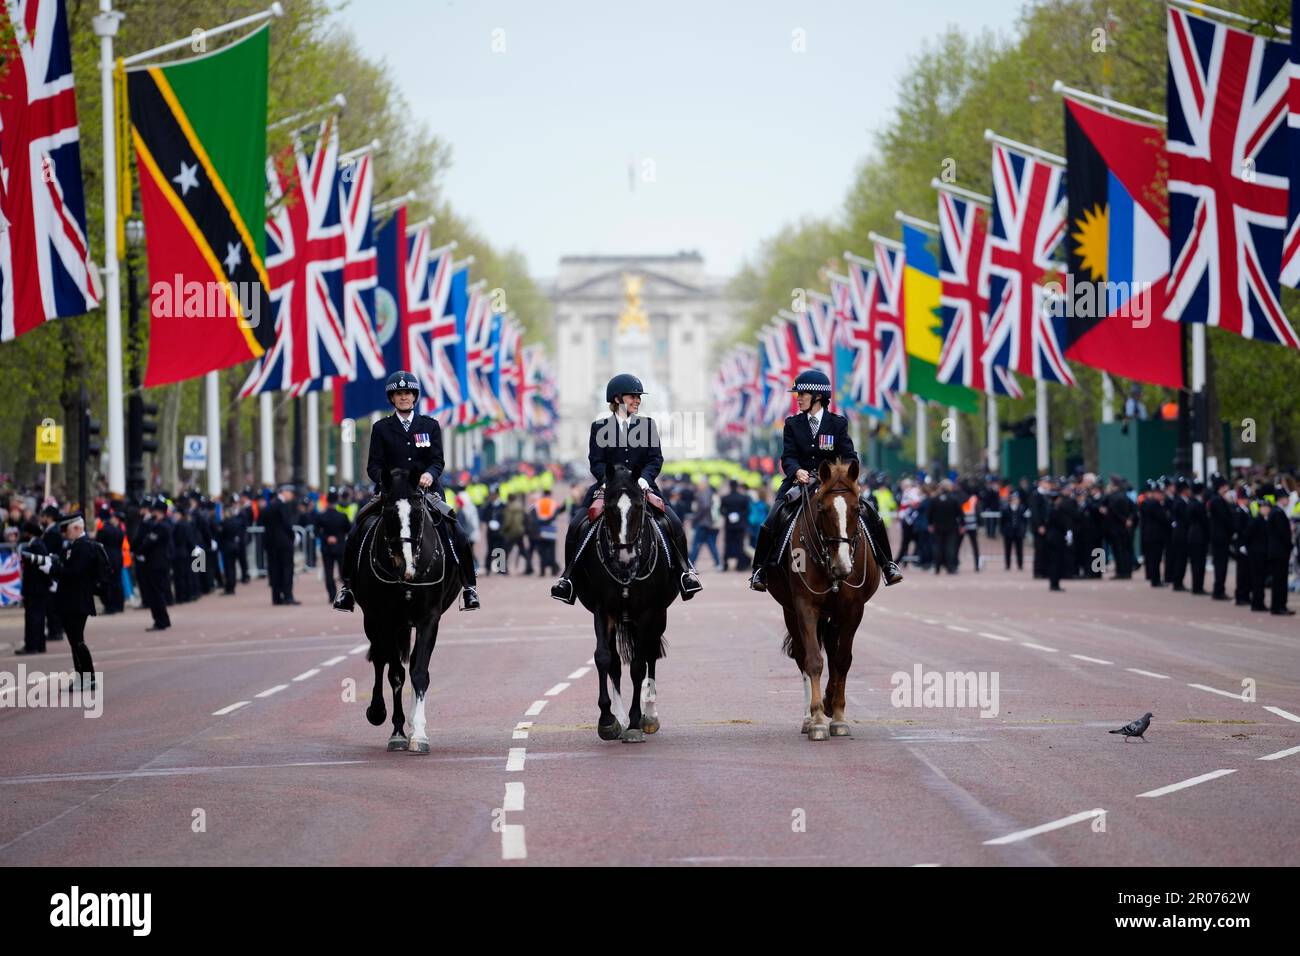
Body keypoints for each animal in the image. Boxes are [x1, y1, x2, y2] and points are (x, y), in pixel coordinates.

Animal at [351, 468, 462, 754]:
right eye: (389, 511)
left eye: (419, 512)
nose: (406, 565)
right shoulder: (385, 619)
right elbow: (396, 674)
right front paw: (398, 732)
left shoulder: (428, 619)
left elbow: (419, 672)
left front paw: (419, 733)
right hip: (374, 622)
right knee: (381, 660)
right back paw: (378, 711)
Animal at [572, 463, 676, 738]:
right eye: (608, 507)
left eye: (638, 506)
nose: (625, 559)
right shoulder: (603, 609)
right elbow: (603, 658)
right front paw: (608, 719)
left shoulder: (647, 611)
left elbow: (639, 665)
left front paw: (636, 719)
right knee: (616, 662)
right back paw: (619, 715)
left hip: (658, 615)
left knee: (650, 654)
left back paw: (650, 714)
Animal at [764, 460, 878, 743]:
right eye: (823, 509)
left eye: (857, 508)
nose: (843, 567)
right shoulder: (805, 606)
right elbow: (814, 660)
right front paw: (816, 720)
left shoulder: (852, 611)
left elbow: (842, 660)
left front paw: (837, 715)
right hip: (791, 612)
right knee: (803, 657)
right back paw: (808, 717)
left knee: (835, 655)